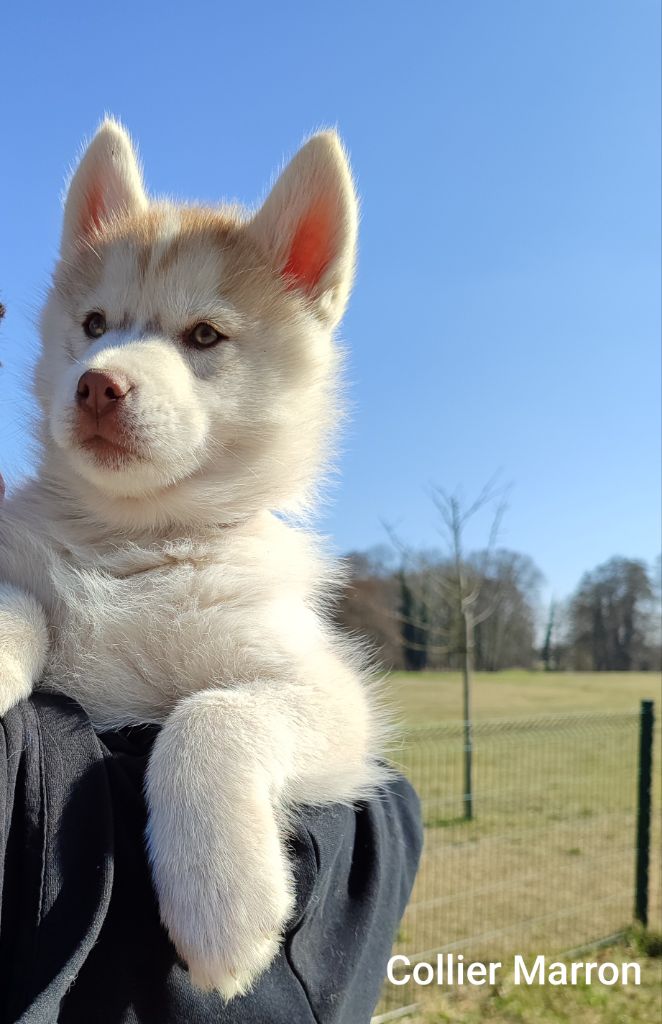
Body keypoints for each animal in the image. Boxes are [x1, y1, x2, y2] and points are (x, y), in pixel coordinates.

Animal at [0, 117, 383, 991]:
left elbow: (212, 712)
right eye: (95, 325)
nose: (98, 385)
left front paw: (221, 898)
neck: (137, 538)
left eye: (204, 335)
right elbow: (23, 600)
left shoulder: (335, 696)